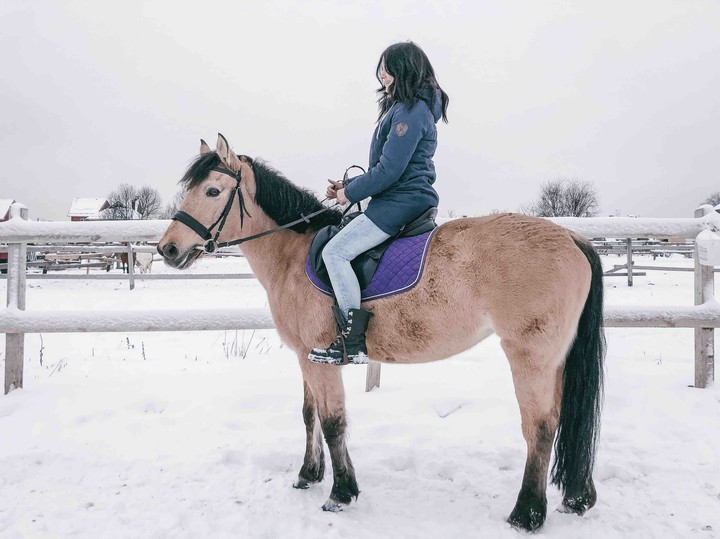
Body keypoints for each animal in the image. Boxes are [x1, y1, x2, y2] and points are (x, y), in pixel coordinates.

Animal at [157, 134, 605, 532]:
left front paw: (341, 493)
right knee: (560, 421)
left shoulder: (321, 358)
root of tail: (572, 236)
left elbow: (333, 421)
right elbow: (309, 415)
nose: (168, 249)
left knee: (540, 427)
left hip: (531, 356)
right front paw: (308, 474)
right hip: (555, 359)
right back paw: (576, 499)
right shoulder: (304, 355)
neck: (293, 256)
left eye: (213, 190)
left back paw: (526, 515)